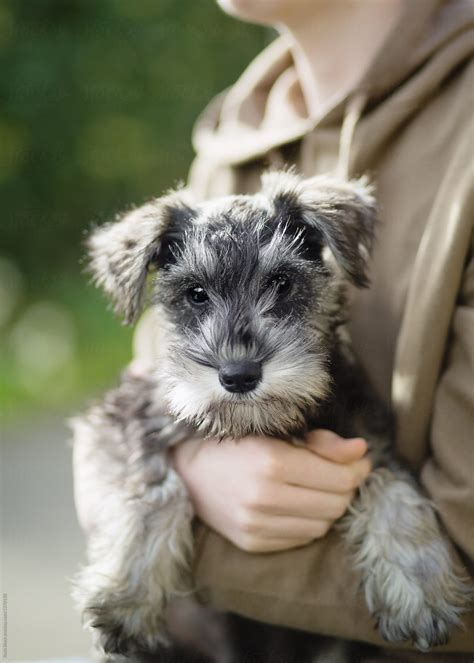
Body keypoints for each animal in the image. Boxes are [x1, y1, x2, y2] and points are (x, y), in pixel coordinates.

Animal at [72, 169, 472, 656]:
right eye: (195, 293)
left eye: (281, 282)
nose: (239, 374)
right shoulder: (129, 413)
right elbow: (154, 486)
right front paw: (125, 599)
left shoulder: (371, 439)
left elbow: (392, 486)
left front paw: (421, 592)